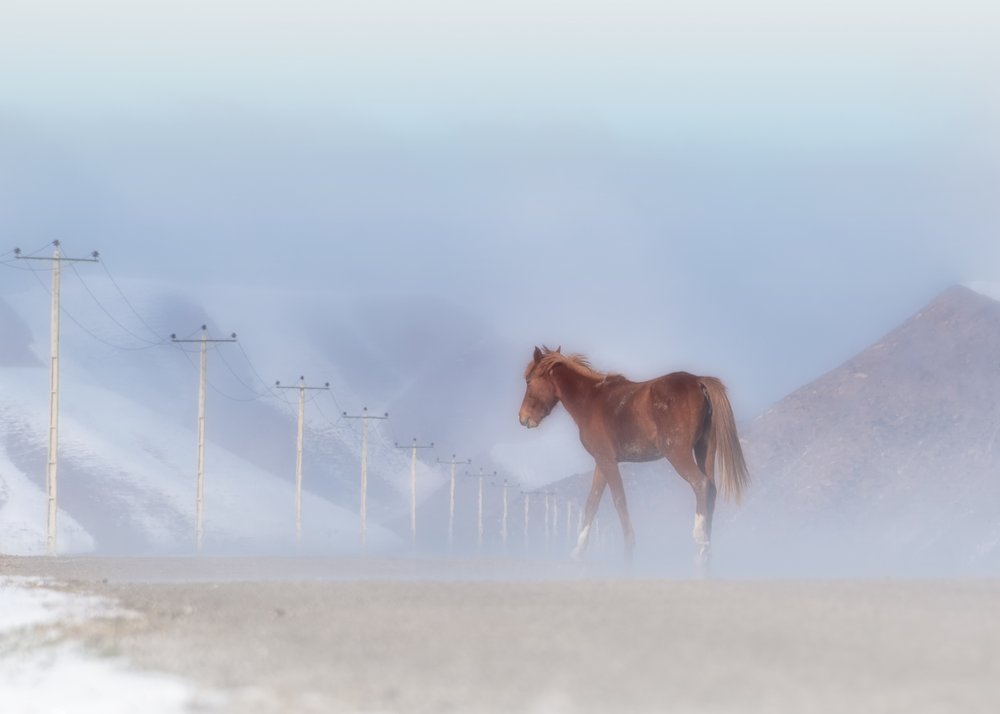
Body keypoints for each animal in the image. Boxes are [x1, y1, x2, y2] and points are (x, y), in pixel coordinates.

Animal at [518, 346, 749, 565]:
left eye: (529, 380)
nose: (523, 418)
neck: (591, 400)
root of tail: (698, 380)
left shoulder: (607, 461)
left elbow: (619, 500)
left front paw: (629, 547)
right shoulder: (602, 462)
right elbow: (592, 503)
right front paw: (578, 551)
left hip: (677, 454)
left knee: (700, 484)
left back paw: (700, 540)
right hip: (704, 450)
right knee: (711, 488)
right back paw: (707, 546)